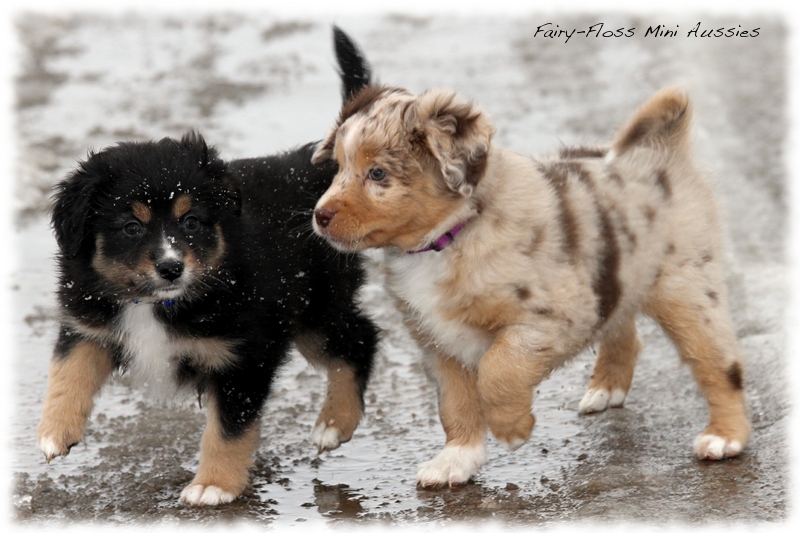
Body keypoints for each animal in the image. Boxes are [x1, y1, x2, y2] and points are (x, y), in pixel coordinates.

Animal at [39, 28, 382, 502]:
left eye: (191, 221)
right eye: (131, 227)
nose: (171, 268)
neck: (156, 303)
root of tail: (319, 168)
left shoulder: (243, 355)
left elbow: (228, 428)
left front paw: (213, 485)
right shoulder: (90, 319)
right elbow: (67, 370)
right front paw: (54, 432)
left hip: (314, 308)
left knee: (360, 338)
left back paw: (334, 424)